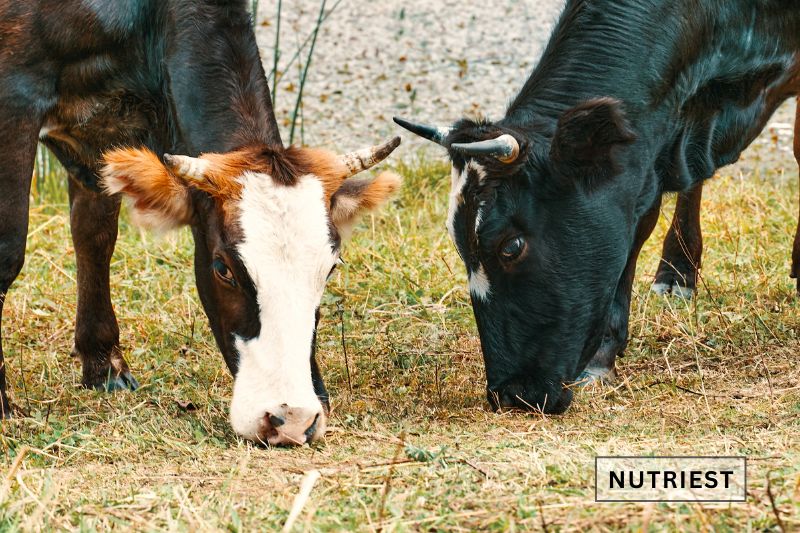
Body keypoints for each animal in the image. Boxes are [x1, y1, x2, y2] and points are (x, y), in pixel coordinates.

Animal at [0, 0, 402, 446]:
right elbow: (8, 251)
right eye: (222, 268)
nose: (293, 419)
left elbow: (95, 234)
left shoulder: (106, 136)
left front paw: (104, 366)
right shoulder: (15, 97)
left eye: (330, 268)